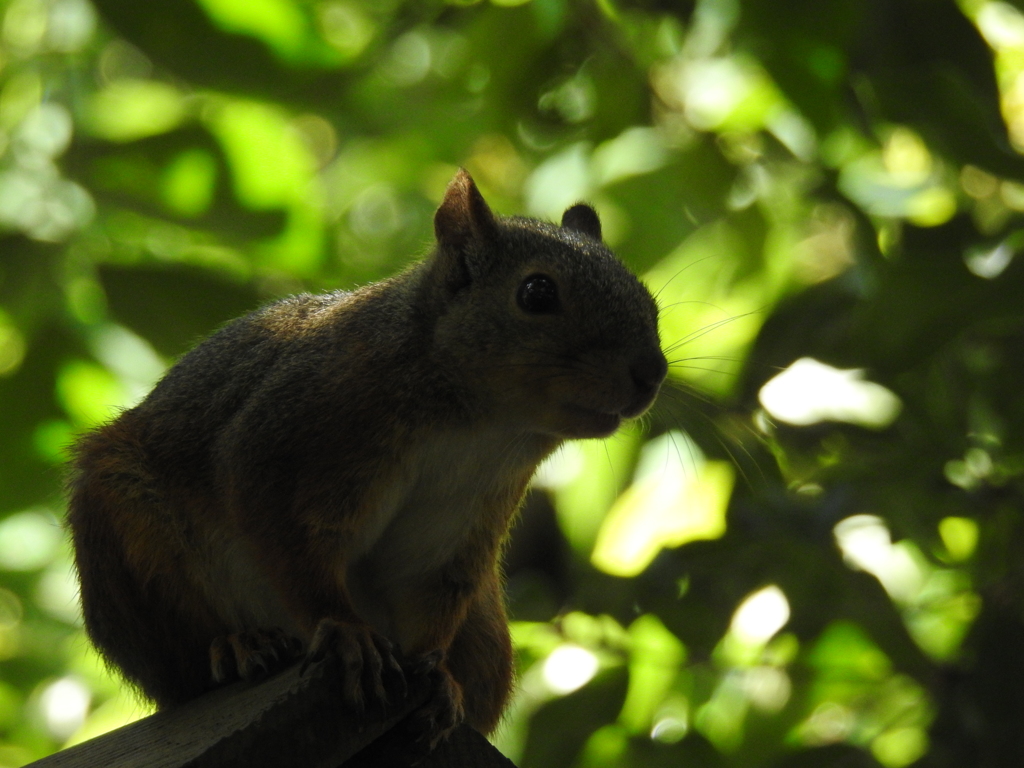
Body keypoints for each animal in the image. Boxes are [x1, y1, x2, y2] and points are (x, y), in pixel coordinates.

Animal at [68, 167, 667, 745]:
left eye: (647, 298)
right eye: (537, 292)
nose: (652, 372)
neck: (479, 426)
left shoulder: (462, 517)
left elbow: (425, 590)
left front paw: (436, 679)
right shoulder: (283, 447)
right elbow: (289, 546)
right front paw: (347, 633)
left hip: (486, 629)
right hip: (127, 533)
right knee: (184, 666)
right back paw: (237, 647)